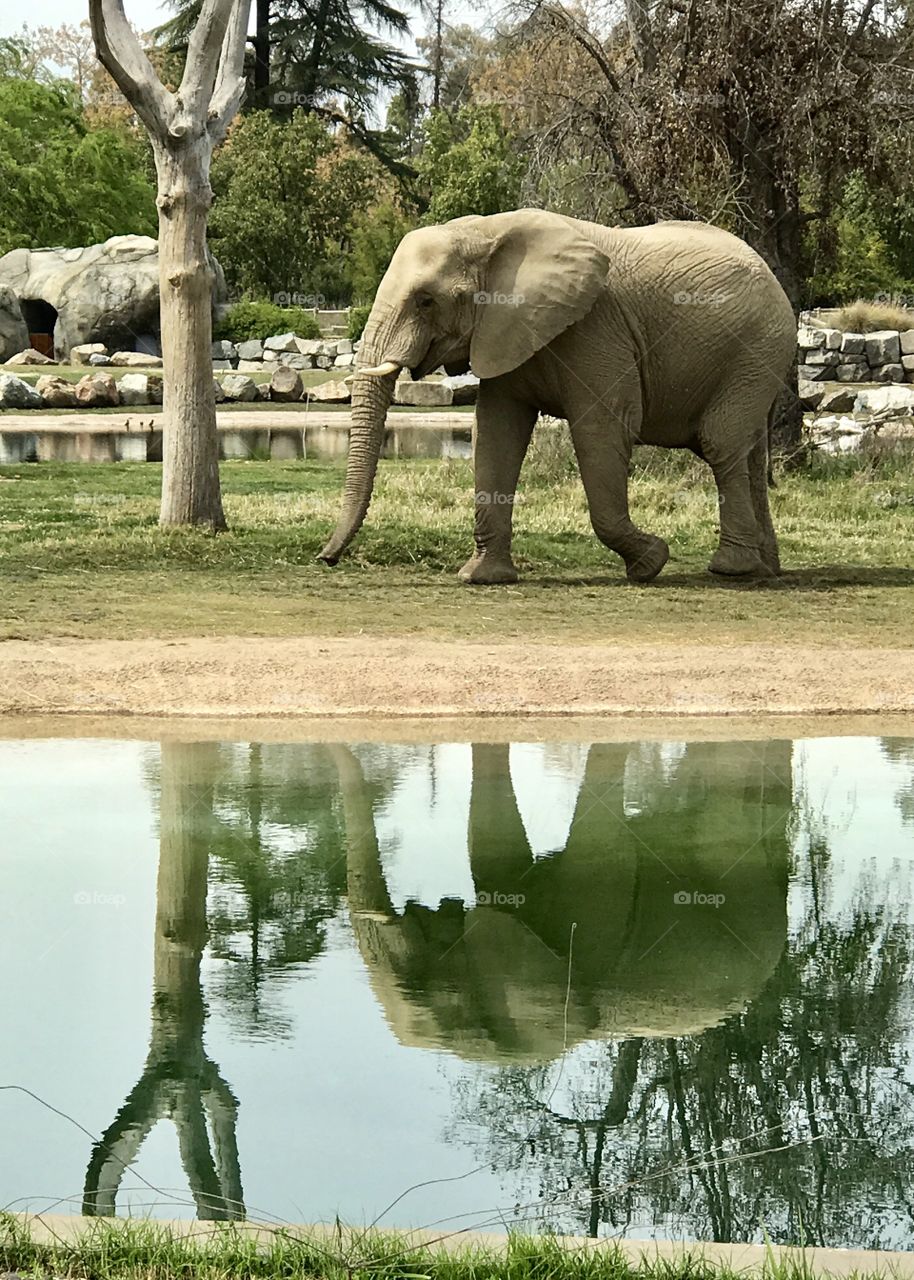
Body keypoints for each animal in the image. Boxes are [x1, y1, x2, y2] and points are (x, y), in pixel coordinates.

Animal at [319, 209, 797, 584]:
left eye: (424, 301)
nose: (326, 559)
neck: (485, 232)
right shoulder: (504, 330)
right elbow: (496, 432)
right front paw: (482, 578)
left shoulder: (596, 329)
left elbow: (602, 429)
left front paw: (650, 562)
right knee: (748, 452)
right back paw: (763, 568)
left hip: (757, 350)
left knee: (721, 443)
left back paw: (730, 569)